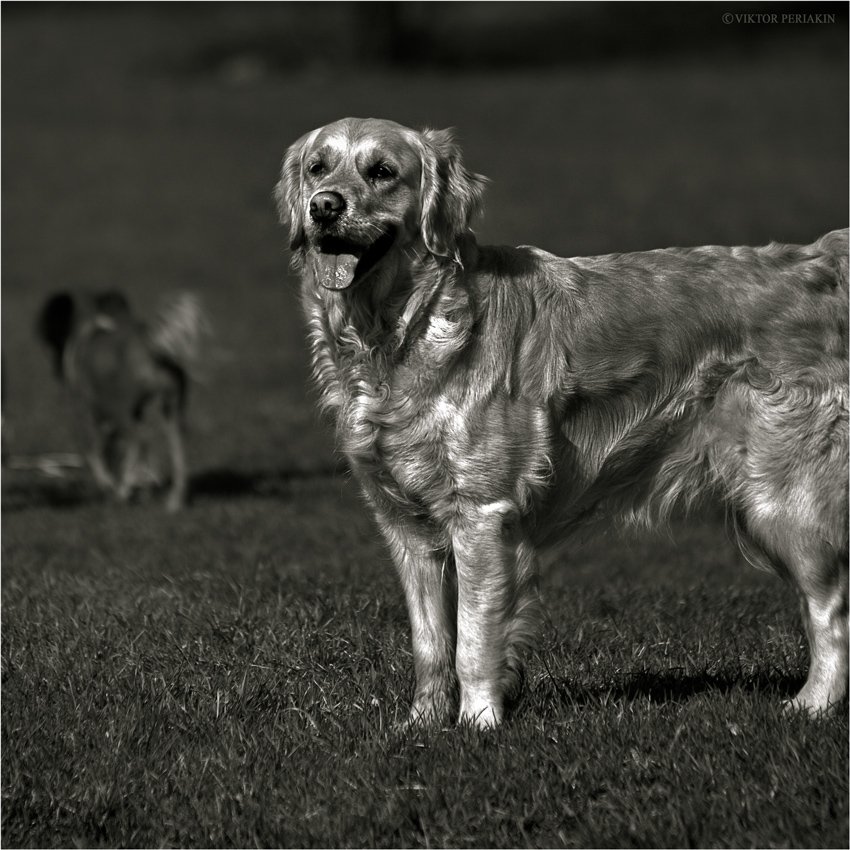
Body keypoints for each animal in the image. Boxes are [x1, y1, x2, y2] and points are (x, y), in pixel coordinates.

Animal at [37, 289, 207, 512]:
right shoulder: (128, 414)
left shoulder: (86, 411)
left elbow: (94, 451)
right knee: (176, 452)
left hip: (121, 411)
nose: (56, 369)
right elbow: (110, 449)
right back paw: (173, 500)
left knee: (141, 441)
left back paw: (124, 490)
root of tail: (149, 346)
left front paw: (110, 483)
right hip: (171, 409)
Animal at [276, 117, 848, 728]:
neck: (400, 330)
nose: (323, 206)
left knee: (831, 608)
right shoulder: (406, 527)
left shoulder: (480, 514)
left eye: (381, 171)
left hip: (782, 500)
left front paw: (478, 724)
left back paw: (812, 704)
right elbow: (430, 642)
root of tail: (819, 260)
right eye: (317, 167)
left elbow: (473, 641)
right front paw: (422, 725)